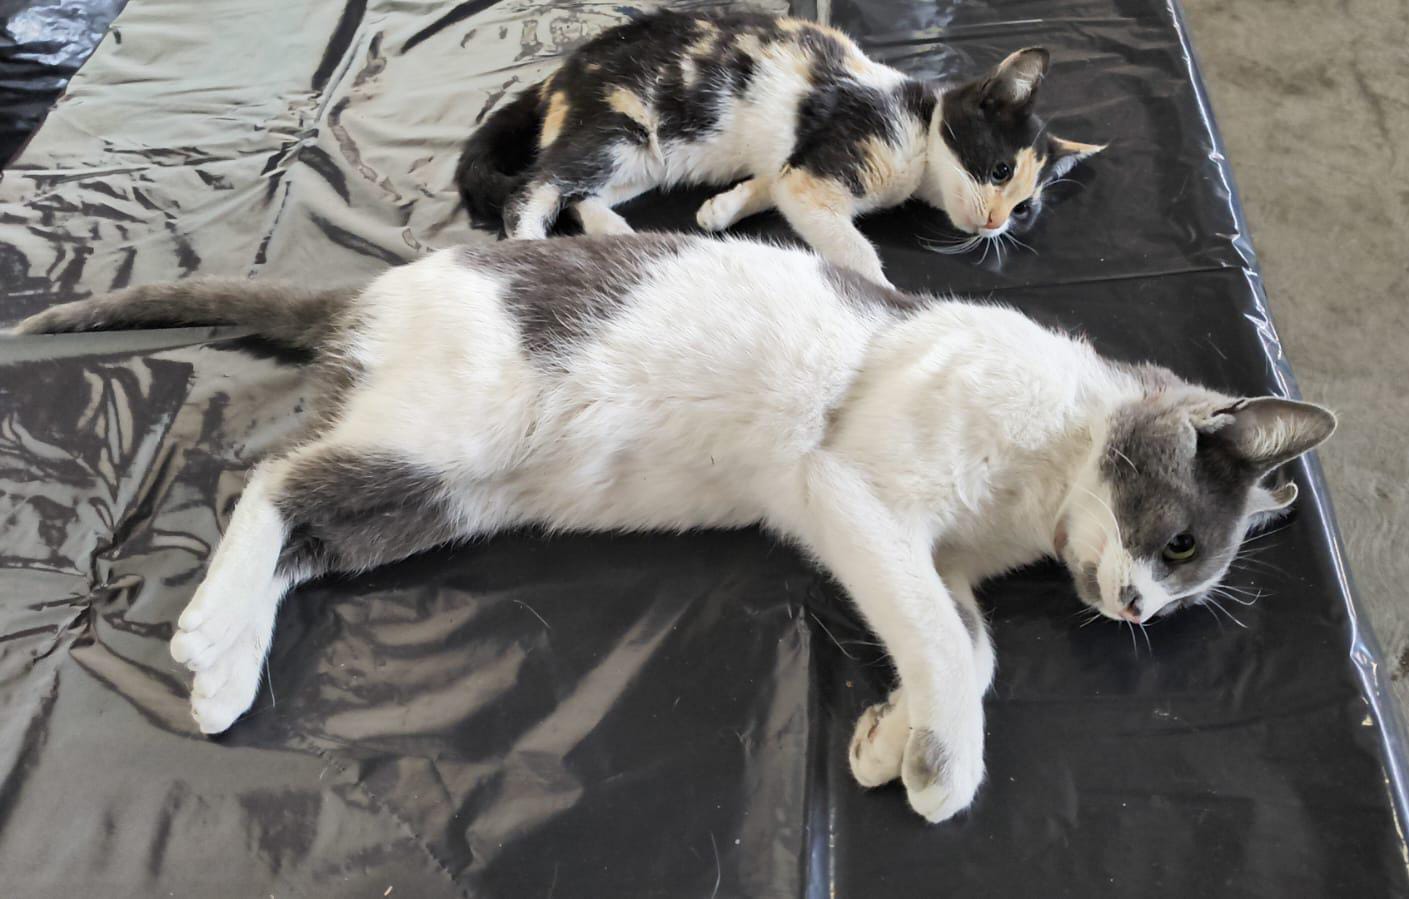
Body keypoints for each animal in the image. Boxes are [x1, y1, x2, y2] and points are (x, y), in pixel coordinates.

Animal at [14, 234, 1333, 823]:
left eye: (1183, 578)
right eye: (1178, 542)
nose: (1134, 607)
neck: (1042, 470)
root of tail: (379, 285)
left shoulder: (940, 555)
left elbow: (966, 639)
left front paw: (887, 734)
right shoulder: (851, 492)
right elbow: (943, 635)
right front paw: (943, 759)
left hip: (442, 492)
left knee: (305, 502)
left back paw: (229, 659)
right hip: (453, 434)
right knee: (268, 473)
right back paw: (211, 646)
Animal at [456, 10, 1104, 286]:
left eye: (1025, 207)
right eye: (998, 169)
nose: (997, 222)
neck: (920, 134)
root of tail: (558, 74)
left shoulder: (797, 166)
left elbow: (773, 179)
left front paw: (721, 208)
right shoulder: (824, 171)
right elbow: (852, 248)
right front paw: (887, 297)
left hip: (645, 159)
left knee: (577, 192)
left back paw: (617, 233)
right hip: (619, 129)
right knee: (535, 187)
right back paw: (530, 247)